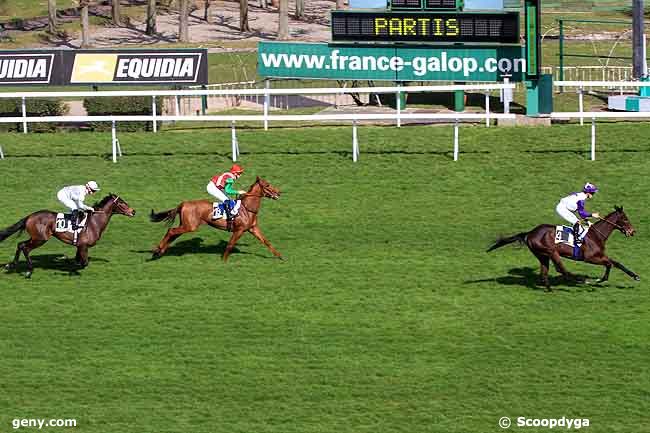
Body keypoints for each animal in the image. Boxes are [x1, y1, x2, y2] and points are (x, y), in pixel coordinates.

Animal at [0, 192, 135, 276]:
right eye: (121, 203)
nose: (133, 211)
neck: (94, 222)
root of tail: (29, 216)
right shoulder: (83, 246)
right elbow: (84, 263)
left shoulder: (80, 246)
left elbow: (78, 261)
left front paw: (66, 262)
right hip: (40, 239)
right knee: (25, 248)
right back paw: (29, 271)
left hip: (35, 237)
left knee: (20, 244)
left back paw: (10, 265)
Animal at [152, 175, 284, 262]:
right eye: (267, 185)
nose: (279, 192)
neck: (247, 208)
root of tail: (183, 203)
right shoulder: (239, 230)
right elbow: (230, 244)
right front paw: (224, 261)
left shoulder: (253, 228)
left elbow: (266, 241)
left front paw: (280, 256)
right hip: (190, 226)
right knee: (171, 231)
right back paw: (157, 250)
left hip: (186, 225)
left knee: (173, 234)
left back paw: (159, 251)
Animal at [484, 206, 636, 290]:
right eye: (625, 219)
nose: (632, 231)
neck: (595, 235)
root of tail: (530, 233)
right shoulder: (590, 258)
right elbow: (609, 264)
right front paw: (599, 280)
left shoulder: (600, 255)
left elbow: (616, 263)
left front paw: (635, 276)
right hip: (552, 252)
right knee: (562, 270)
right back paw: (581, 280)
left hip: (542, 255)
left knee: (544, 272)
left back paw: (550, 289)